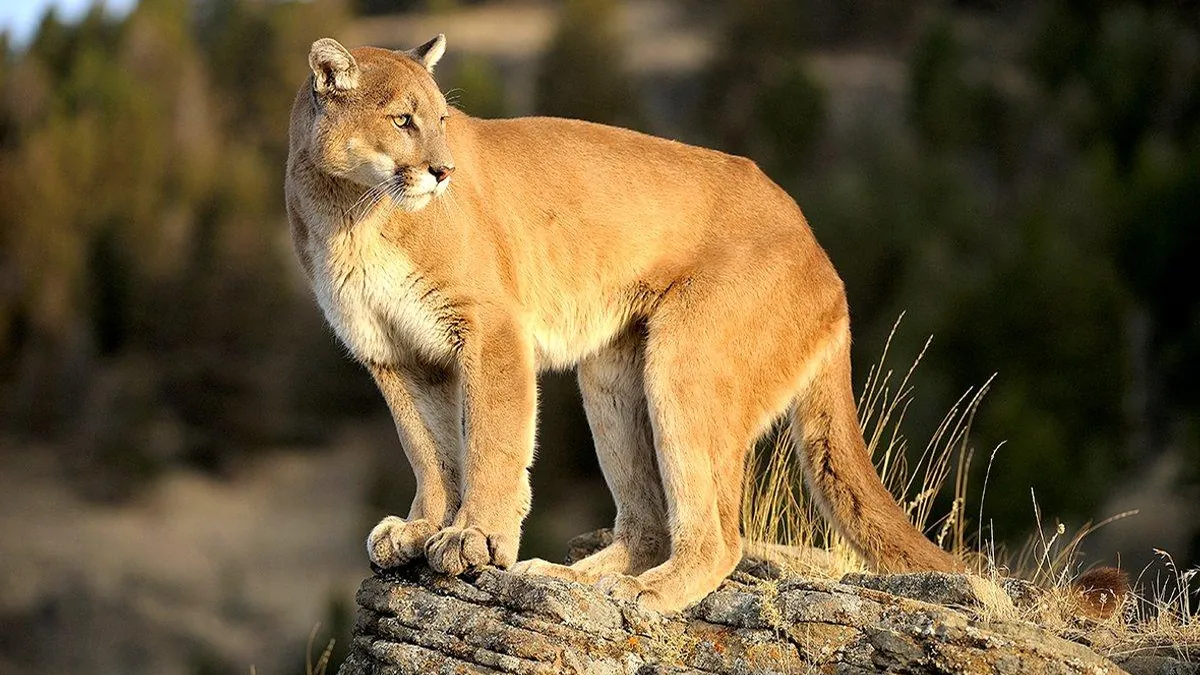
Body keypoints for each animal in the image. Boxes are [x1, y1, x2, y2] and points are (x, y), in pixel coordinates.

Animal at [284, 34, 962, 612]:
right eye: (403, 120)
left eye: (442, 120)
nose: (443, 171)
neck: (351, 212)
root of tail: (822, 254)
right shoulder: (393, 353)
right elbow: (428, 450)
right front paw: (421, 526)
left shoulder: (490, 329)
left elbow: (493, 442)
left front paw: (473, 536)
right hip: (611, 375)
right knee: (651, 524)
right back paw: (565, 579)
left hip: (686, 361)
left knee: (719, 535)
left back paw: (643, 594)